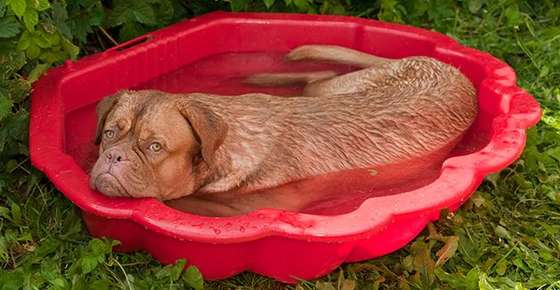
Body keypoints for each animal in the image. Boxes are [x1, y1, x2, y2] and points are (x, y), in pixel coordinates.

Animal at [88, 44, 476, 215]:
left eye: (155, 146)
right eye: (109, 133)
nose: (114, 156)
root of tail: (447, 66)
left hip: (337, 88)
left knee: (318, 76)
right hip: (338, 88)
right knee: (319, 76)